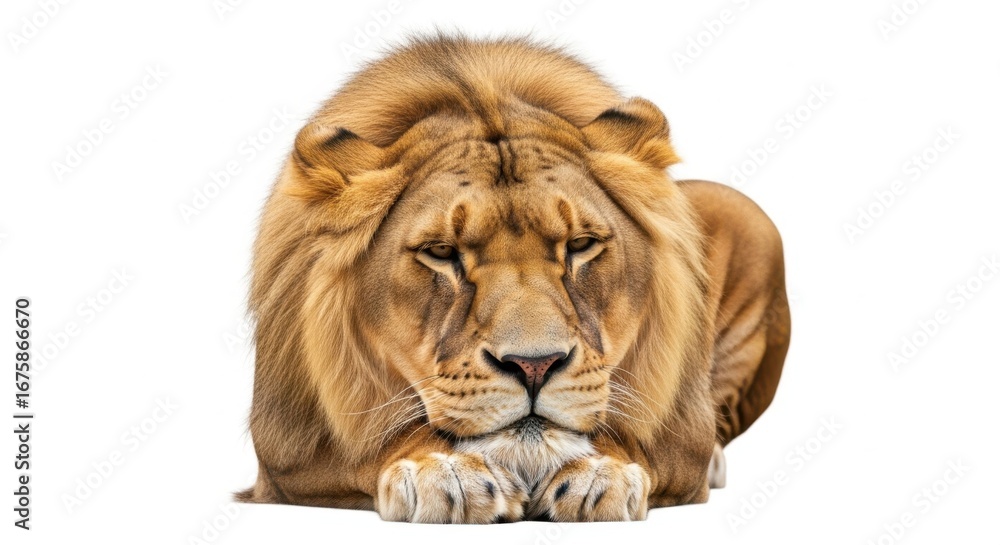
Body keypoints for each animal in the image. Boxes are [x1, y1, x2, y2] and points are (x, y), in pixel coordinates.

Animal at [236, 34, 790, 523]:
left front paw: (599, 475)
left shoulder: (681, 441)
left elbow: (627, 433)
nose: (534, 365)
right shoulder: (289, 451)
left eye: (580, 245)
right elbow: (377, 443)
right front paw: (444, 472)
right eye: (441, 253)